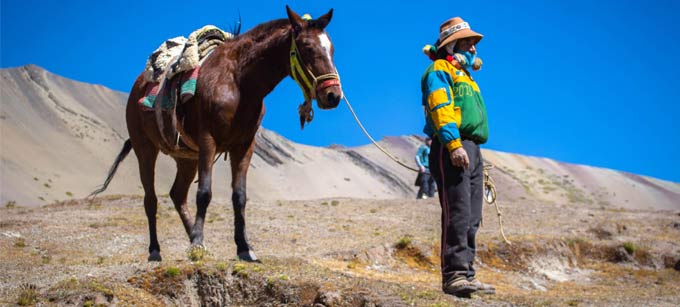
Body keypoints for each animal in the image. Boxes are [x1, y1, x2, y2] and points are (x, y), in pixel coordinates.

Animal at [93, 6, 342, 262]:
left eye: (331, 49)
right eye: (308, 47)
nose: (333, 95)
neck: (239, 82)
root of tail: (138, 88)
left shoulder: (244, 145)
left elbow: (239, 196)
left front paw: (243, 247)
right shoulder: (208, 141)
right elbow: (204, 193)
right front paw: (198, 244)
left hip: (186, 159)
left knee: (177, 194)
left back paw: (194, 238)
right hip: (146, 150)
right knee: (151, 200)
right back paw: (156, 250)